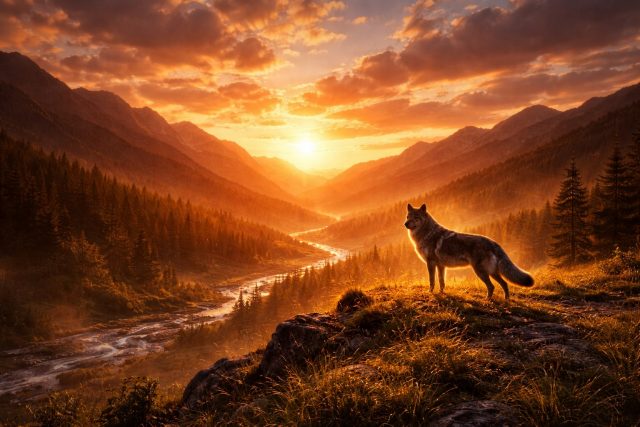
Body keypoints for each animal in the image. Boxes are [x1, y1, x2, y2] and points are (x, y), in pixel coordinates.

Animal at [405, 203, 533, 300]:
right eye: (407, 216)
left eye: (416, 217)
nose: (405, 224)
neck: (427, 233)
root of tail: (493, 242)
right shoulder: (441, 266)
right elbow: (441, 281)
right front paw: (442, 293)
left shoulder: (431, 263)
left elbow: (432, 281)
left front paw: (430, 293)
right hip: (492, 272)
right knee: (504, 284)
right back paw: (506, 300)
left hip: (480, 271)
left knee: (492, 286)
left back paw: (487, 300)